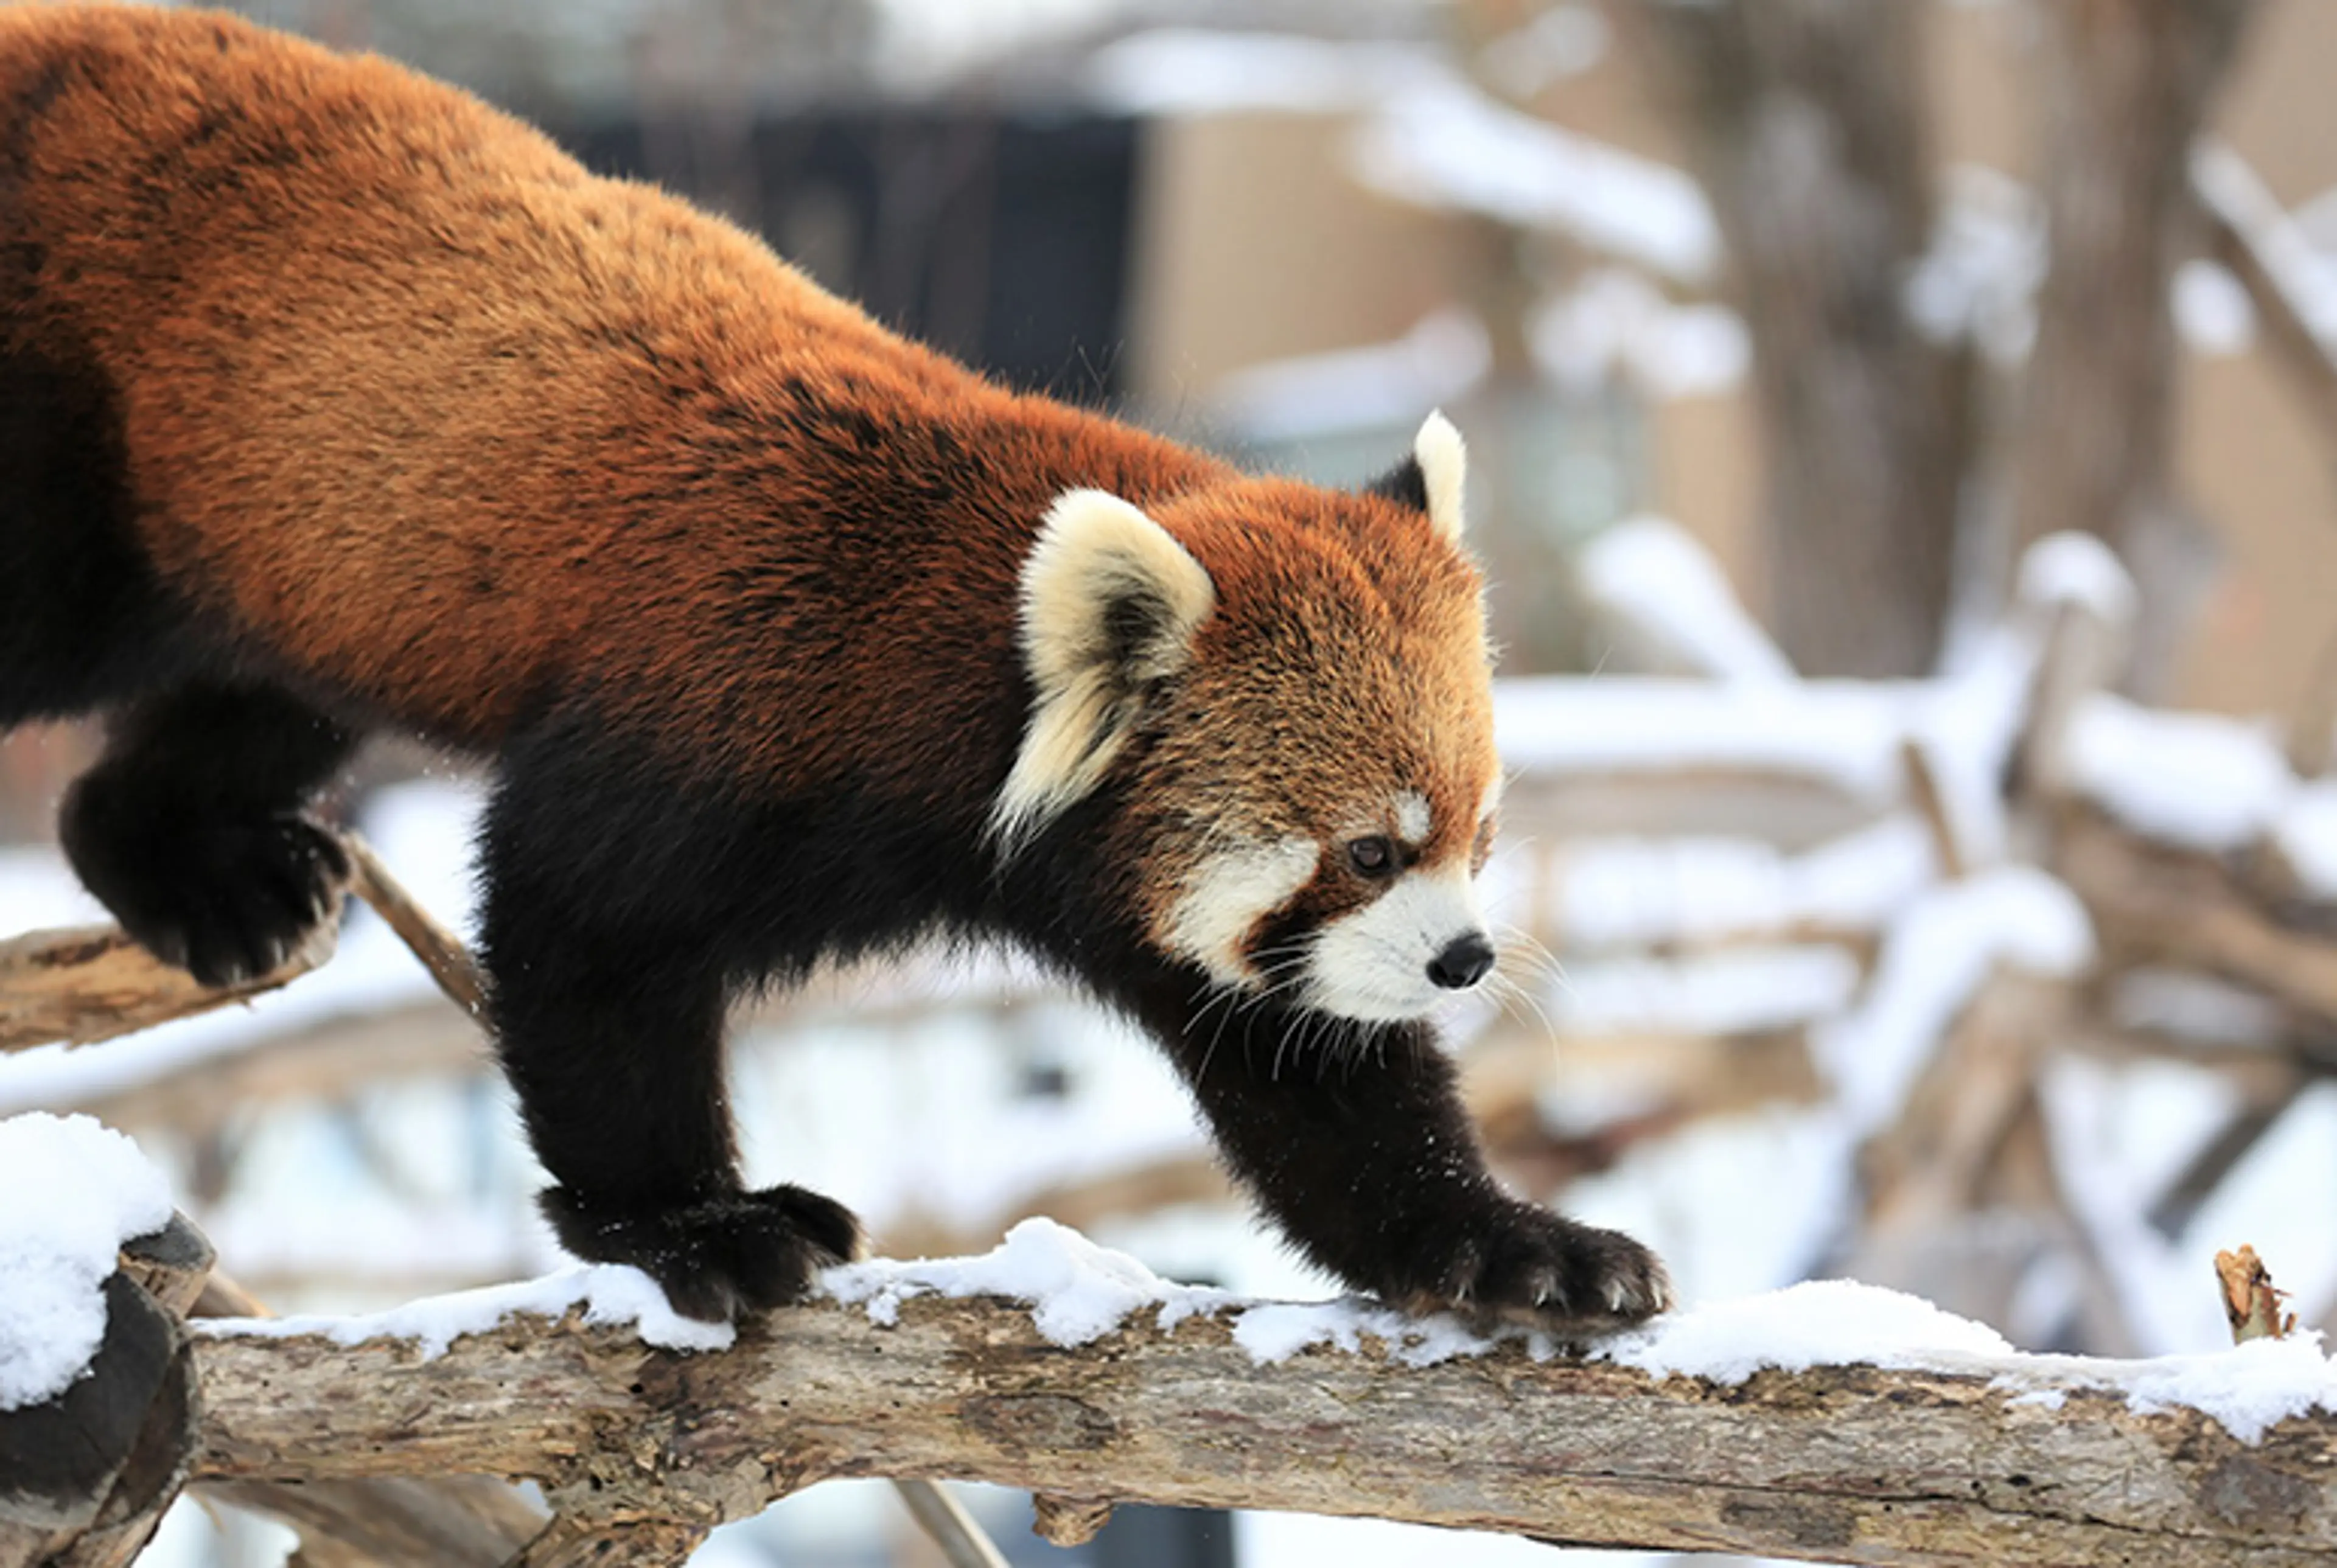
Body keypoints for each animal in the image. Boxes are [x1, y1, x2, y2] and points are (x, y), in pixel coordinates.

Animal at [9, 6, 1673, 1327]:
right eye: (1368, 849)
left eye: (1479, 836)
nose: (1464, 960)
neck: (943, 673)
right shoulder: (709, 700)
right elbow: (582, 937)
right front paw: (693, 1224)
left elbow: (1321, 1087)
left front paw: (1516, 1243)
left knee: (244, 706)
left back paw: (196, 870)